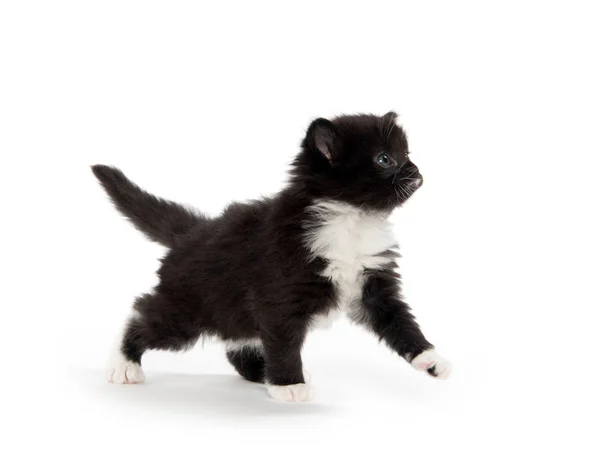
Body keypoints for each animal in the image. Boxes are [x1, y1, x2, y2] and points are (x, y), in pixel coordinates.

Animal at [92, 111, 450, 402]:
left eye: (407, 154)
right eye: (384, 159)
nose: (416, 171)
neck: (352, 218)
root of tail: (195, 231)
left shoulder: (373, 282)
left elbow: (401, 323)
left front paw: (430, 359)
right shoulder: (278, 291)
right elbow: (284, 338)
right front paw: (289, 385)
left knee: (239, 338)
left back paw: (259, 373)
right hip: (190, 309)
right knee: (143, 312)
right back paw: (124, 363)